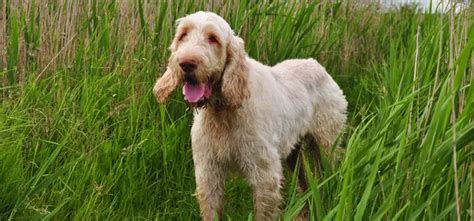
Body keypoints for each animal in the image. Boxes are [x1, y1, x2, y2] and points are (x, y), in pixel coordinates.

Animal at [154, 11, 346, 219]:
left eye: (213, 38)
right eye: (183, 35)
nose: (186, 64)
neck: (222, 112)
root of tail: (318, 65)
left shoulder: (265, 175)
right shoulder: (209, 173)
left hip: (327, 146)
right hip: (293, 154)